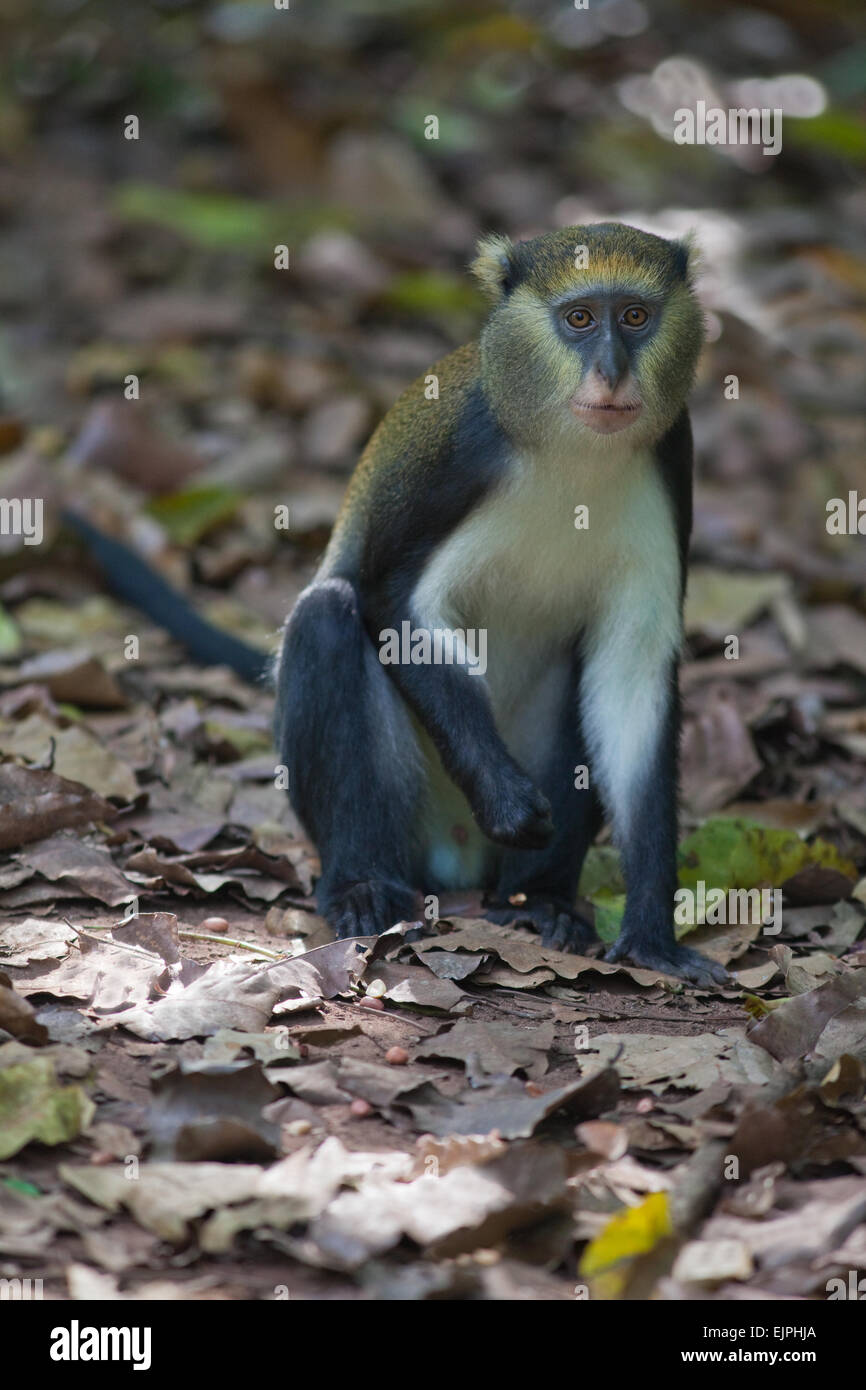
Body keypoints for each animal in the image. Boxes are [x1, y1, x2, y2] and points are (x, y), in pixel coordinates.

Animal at [272, 222, 733, 989]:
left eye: (636, 316)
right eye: (580, 320)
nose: (612, 372)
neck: (573, 450)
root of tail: (459, 862)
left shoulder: (675, 457)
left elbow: (631, 683)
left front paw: (651, 935)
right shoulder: (461, 456)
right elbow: (392, 603)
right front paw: (509, 800)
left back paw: (539, 903)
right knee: (326, 618)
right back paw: (363, 887)